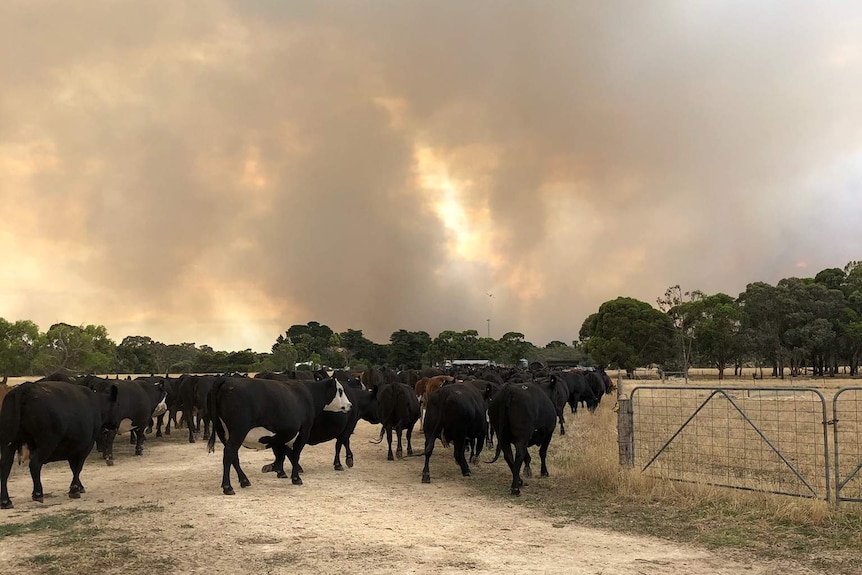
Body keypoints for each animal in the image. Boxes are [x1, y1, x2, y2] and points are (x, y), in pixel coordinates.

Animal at [208, 378, 352, 496]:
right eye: (340, 390)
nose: (350, 405)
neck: (309, 395)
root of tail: (227, 381)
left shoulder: (282, 435)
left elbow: (282, 454)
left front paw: (277, 470)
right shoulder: (303, 432)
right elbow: (295, 455)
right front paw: (296, 478)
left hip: (224, 433)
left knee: (233, 456)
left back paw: (244, 480)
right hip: (239, 431)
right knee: (229, 454)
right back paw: (228, 487)